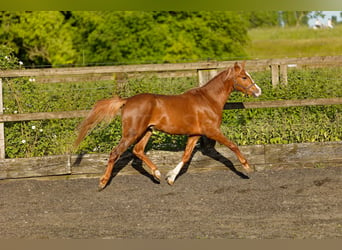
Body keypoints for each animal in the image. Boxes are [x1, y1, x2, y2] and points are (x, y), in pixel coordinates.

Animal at [75, 62, 262, 189]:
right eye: (244, 77)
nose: (258, 91)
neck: (208, 100)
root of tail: (127, 101)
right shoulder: (211, 130)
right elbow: (232, 145)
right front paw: (247, 167)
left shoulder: (195, 134)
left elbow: (186, 156)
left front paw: (170, 177)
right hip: (132, 132)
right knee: (115, 153)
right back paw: (103, 182)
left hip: (147, 131)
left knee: (138, 151)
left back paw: (157, 173)